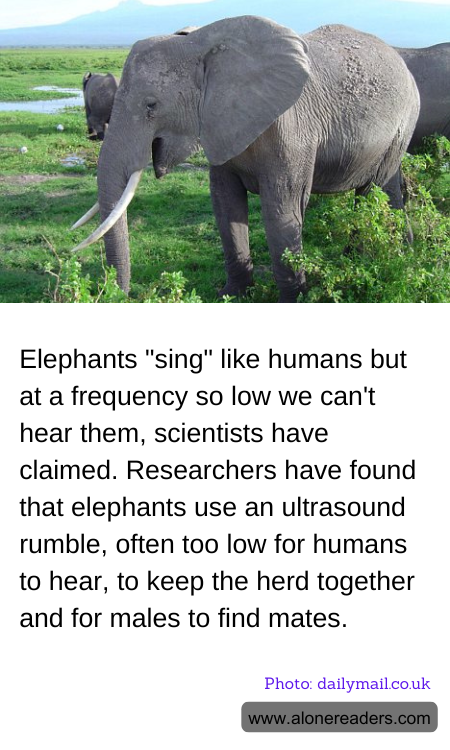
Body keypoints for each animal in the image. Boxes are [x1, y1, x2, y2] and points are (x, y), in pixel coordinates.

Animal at [72, 16, 419, 302]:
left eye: (151, 105)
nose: (121, 295)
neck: (201, 43)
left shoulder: (291, 129)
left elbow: (281, 213)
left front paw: (293, 301)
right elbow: (226, 206)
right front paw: (232, 294)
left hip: (403, 121)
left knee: (374, 192)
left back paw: (366, 257)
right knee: (383, 191)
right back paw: (388, 252)